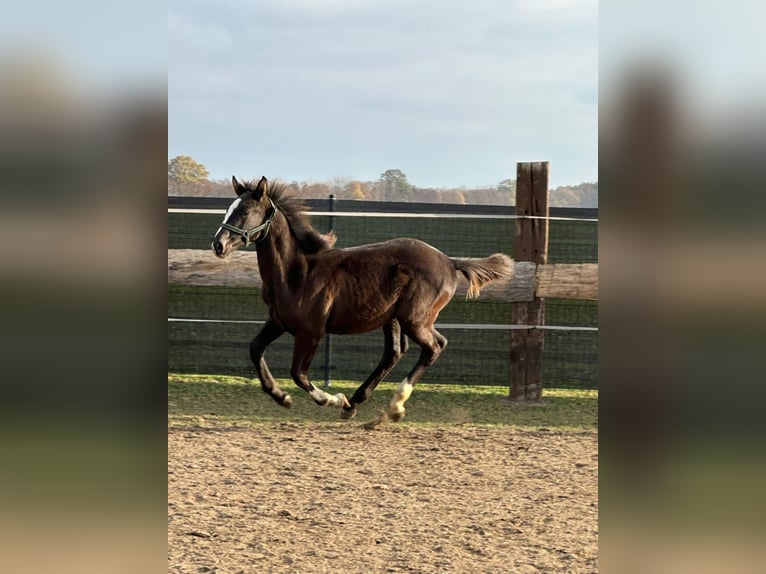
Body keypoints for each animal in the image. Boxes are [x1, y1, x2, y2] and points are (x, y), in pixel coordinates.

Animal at [208, 177, 516, 424]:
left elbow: (299, 374)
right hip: (393, 319)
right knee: (395, 352)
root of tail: (450, 262)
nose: (218, 245)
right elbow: (255, 349)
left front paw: (331, 399)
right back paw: (356, 404)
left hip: (415, 319)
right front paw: (281, 397)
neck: (297, 273)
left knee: (434, 347)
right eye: (229, 209)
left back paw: (392, 407)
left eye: (245, 211)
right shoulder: (278, 321)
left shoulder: (311, 332)